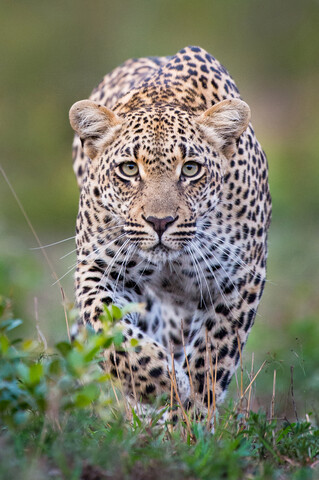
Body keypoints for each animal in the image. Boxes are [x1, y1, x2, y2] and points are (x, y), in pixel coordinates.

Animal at [69, 46, 272, 416]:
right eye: (129, 169)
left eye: (190, 169)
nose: (160, 222)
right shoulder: (100, 267)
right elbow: (109, 327)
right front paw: (162, 386)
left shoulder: (239, 279)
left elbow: (213, 354)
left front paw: (193, 415)